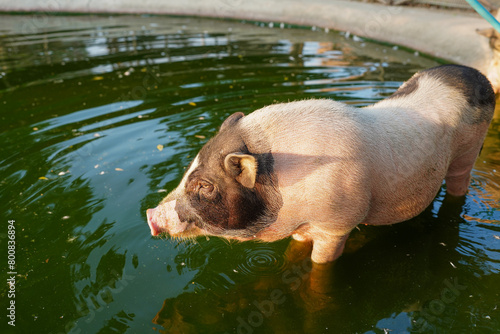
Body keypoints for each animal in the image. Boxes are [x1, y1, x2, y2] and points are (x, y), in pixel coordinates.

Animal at [146, 65, 494, 264]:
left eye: (204, 186)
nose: (150, 214)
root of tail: (475, 75)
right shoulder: (304, 225)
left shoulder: (336, 225)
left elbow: (320, 266)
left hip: (468, 151)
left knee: (459, 184)